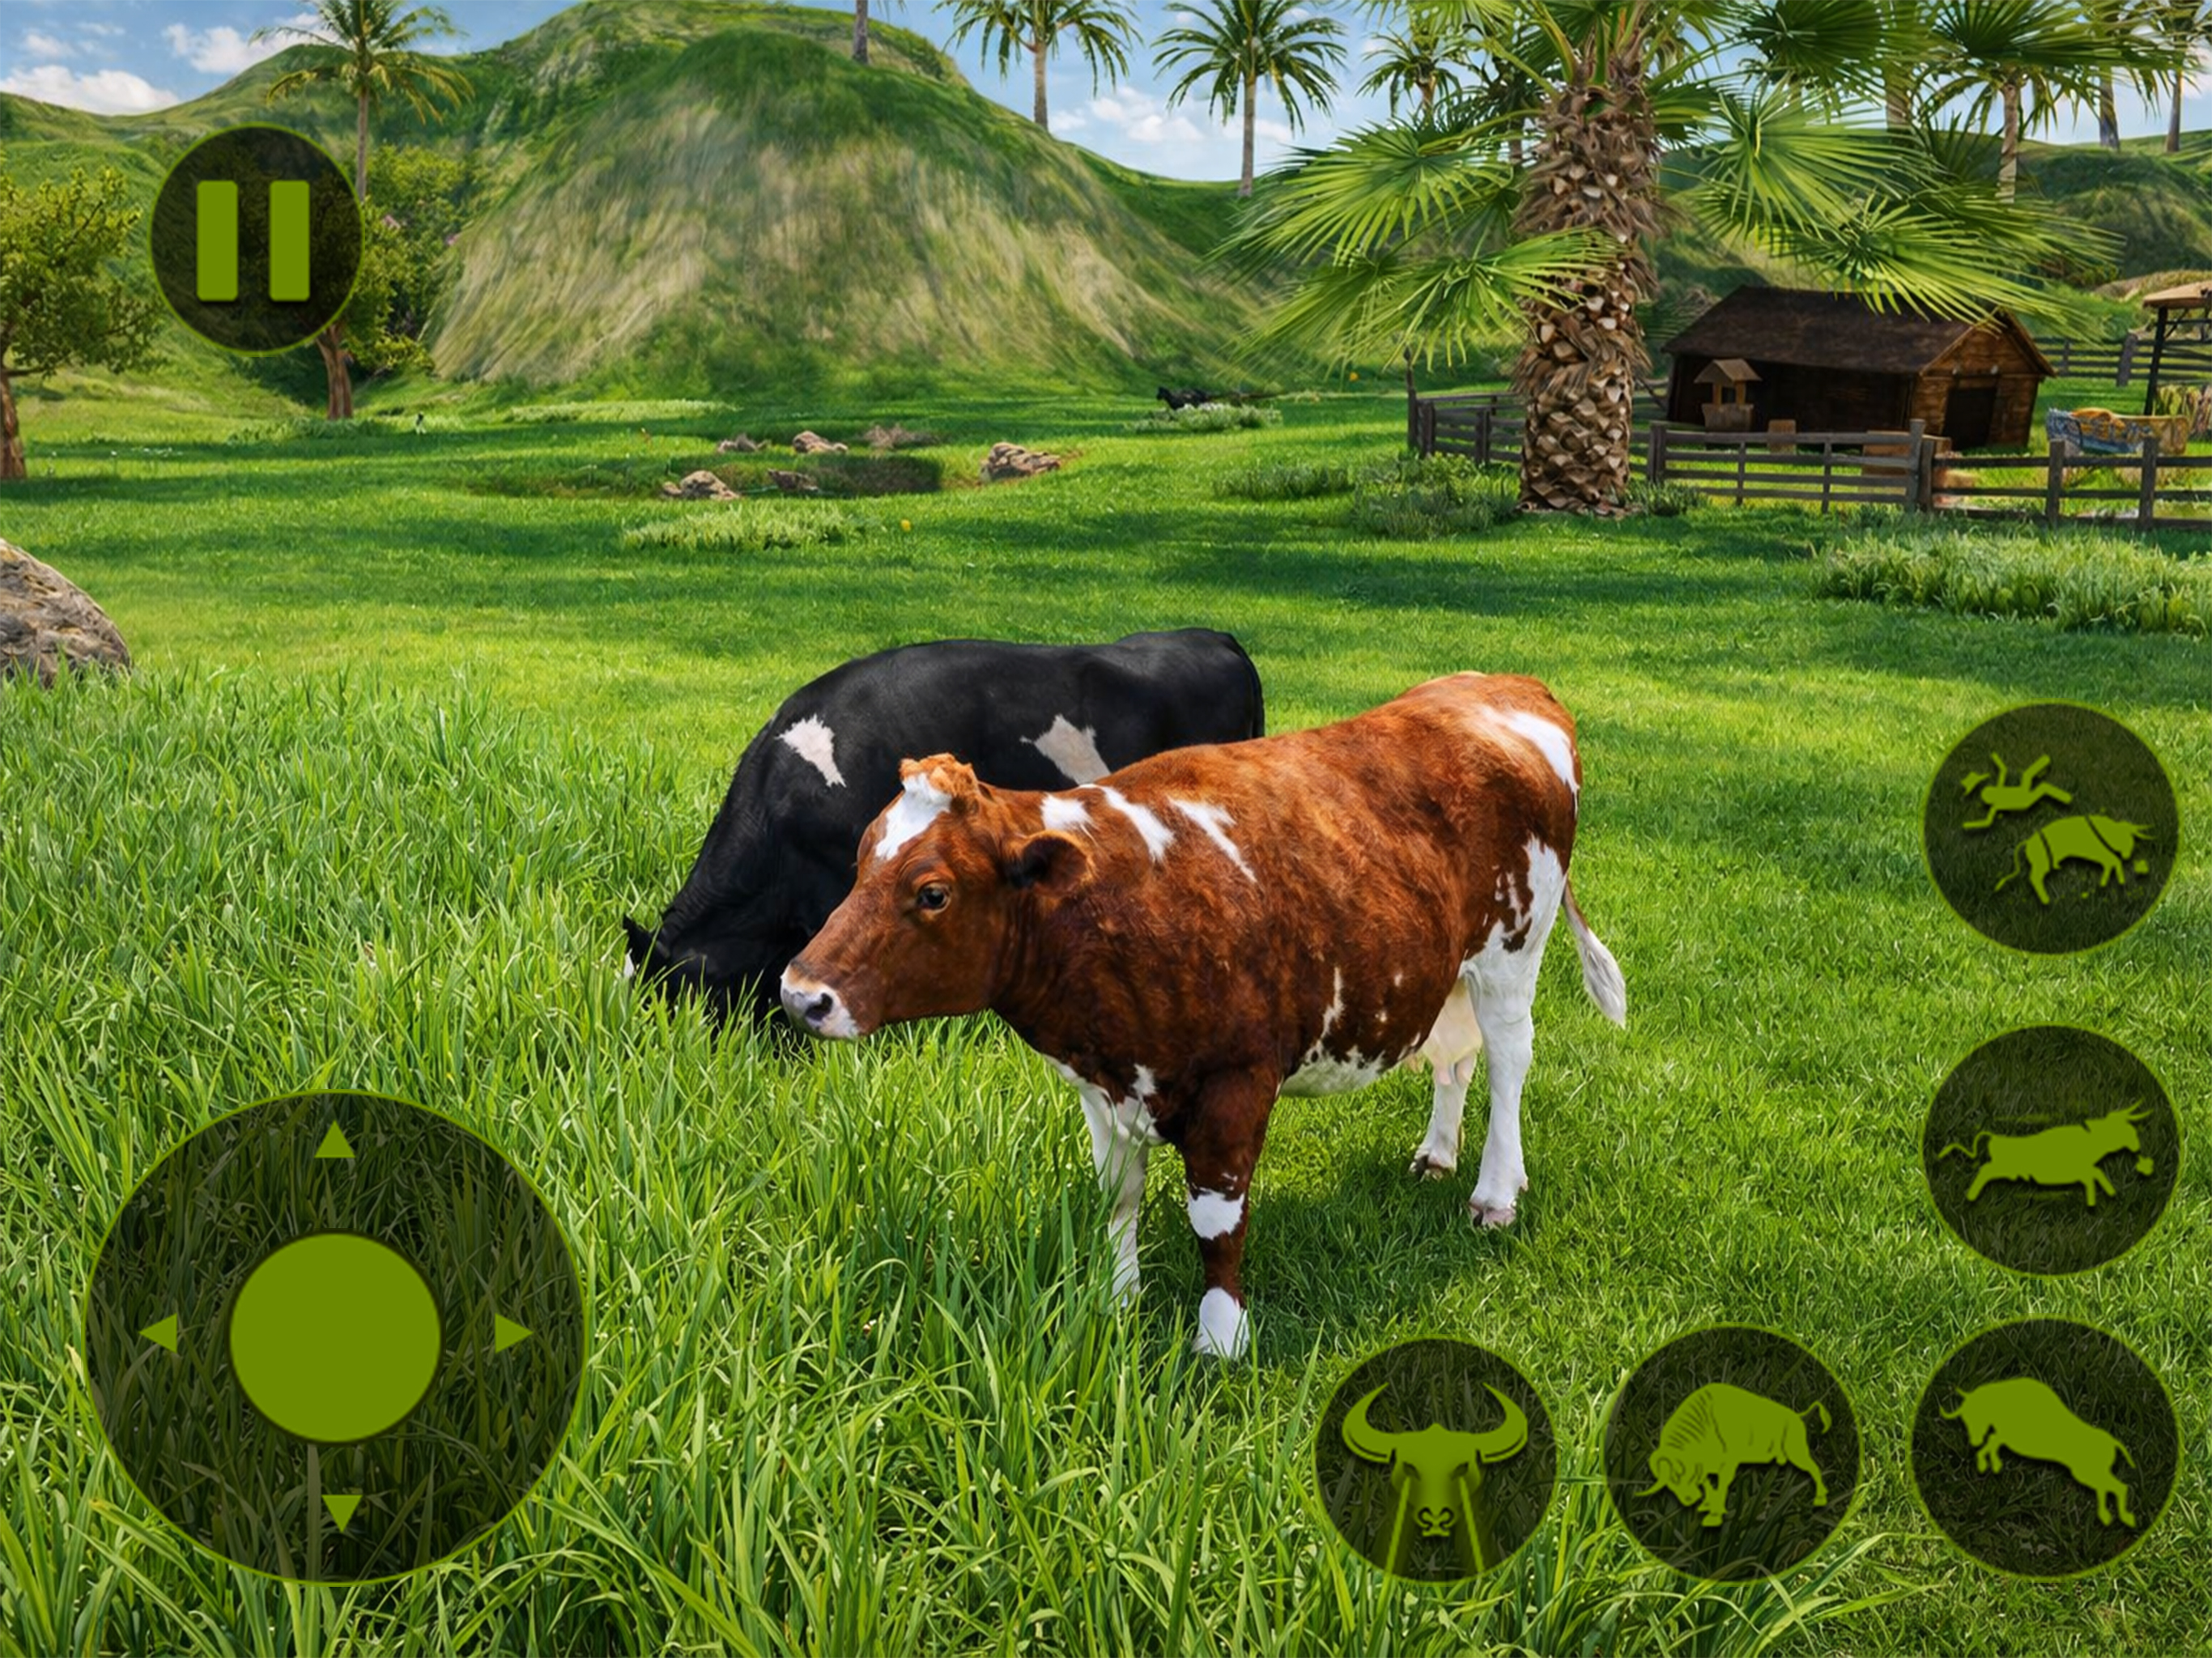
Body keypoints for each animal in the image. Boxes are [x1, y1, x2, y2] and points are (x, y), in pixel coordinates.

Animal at [777, 671, 1628, 1360]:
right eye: (859, 860)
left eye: (933, 892)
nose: (800, 993)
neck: (1111, 905)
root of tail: (1508, 687)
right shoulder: (1103, 1088)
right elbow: (1115, 1198)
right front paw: (1114, 1301)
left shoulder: (1235, 1081)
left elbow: (1217, 1223)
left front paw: (1220, 1340)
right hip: (1450, 964)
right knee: (1455, 1056)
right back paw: (1438, 1154)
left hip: (1516, 947)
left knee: (1511, 1059)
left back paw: (1495, 1191)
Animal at [1641, 1384, 1831, 1527]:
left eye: (1681, 1472)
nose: (1689, 1499)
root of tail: (1798, 1416)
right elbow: (1709, 1486)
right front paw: (1707, 1506)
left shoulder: (1727, 1465)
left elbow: (1720, 1487)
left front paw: (1714, 1517)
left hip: (1797, 1453)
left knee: (1814, 1469)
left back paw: (1821, 1499)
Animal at [1938, 1104, 2150, 1207]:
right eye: (2124, 1131)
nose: (2138, 1147)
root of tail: (1992, 1137)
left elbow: (2096, 1175)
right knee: (1985, 1171)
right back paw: (1971, 1196)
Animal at [1942, 1377, 2136, 1527]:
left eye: (1977, 1414)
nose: (1974, 1441)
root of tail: (2113, 1443)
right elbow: (1991, 1443)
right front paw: (1990, 1464)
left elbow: (1991, 1442)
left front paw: (1987, 1463)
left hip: (2087, 1471)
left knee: (2118, 1487)